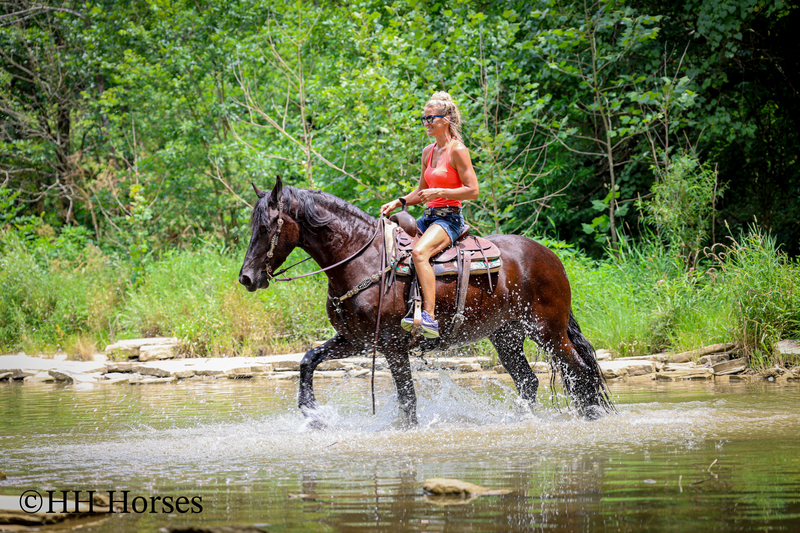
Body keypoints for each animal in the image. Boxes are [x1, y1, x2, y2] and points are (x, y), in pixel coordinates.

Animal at [238, 177, 612, 424]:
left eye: (268, 226)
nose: (247, 278)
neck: (362, 259)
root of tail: (551, 258)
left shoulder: (392, 345)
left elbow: (407, 399)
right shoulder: (356, 340)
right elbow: (308, 359)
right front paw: (311, 411)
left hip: (548, 331)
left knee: (580, 373)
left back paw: (591, 417)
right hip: (506, 336)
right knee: (529, 381)